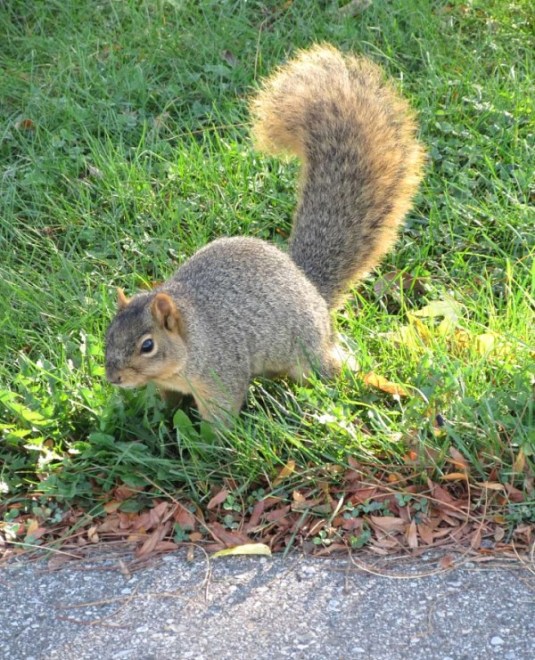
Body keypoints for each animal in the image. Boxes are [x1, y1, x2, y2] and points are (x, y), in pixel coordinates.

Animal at [105, 44, 425, 423]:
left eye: (147, 345)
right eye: (109, 332)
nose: (113, 377)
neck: (193, 337)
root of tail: (310, 286)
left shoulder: (221, 373)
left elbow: (221, 417)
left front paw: (210, 439)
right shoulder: (168, 385)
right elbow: (166, 404)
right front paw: (155, 419)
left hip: (309, 352)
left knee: (332, 366)